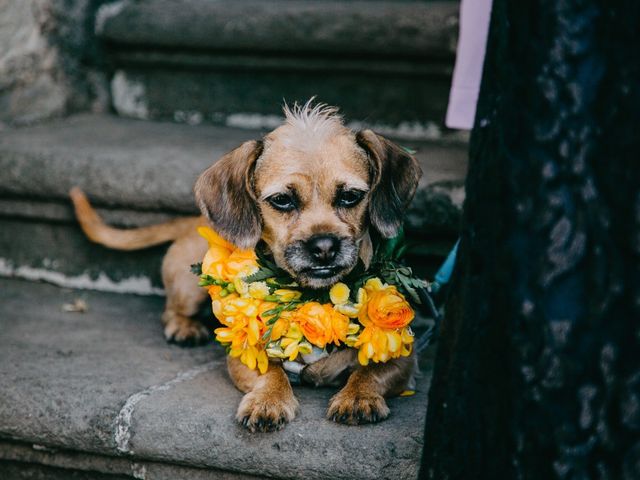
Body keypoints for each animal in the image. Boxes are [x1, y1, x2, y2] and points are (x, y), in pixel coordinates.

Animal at [71, 101, 420, 432]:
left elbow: (369, 371)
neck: (314, 297)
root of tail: (195, 221)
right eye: (282, 200)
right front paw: (269, 400)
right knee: (171, 309)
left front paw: (358, 396)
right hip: (189, 286)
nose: (323, 247)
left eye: (350, 196)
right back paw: (183, 327)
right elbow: (271, 373)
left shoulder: (404, 359)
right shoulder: (242, 354)